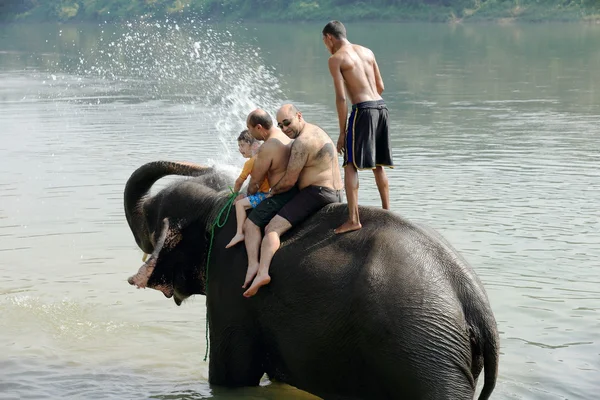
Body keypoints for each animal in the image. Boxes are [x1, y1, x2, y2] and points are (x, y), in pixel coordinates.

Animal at [124, 161, 500, 398]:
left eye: (152, 214)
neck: (218, 204)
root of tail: (474, 301)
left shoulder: (232, 285)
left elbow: (232, 377)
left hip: (424, 352)